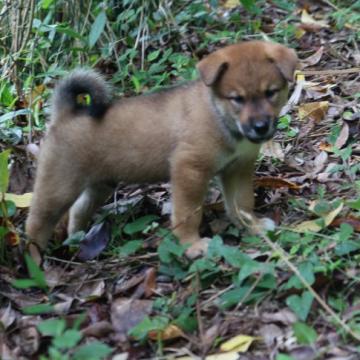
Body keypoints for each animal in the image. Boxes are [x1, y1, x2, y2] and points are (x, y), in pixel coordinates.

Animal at [24, 40, 296, 258]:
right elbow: (188, 214)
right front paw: (192, 245)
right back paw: (35, 263)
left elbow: (242, 204)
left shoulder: (237, 169)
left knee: (78, 211)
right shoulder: (189, 169)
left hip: (99, 185)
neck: (220, 116)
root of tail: (65, 115)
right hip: (59, 187)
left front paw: (253, 226)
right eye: (237, 98)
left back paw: (76, 241)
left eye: (271, 93)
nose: (261, 127)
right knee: (35, 225)